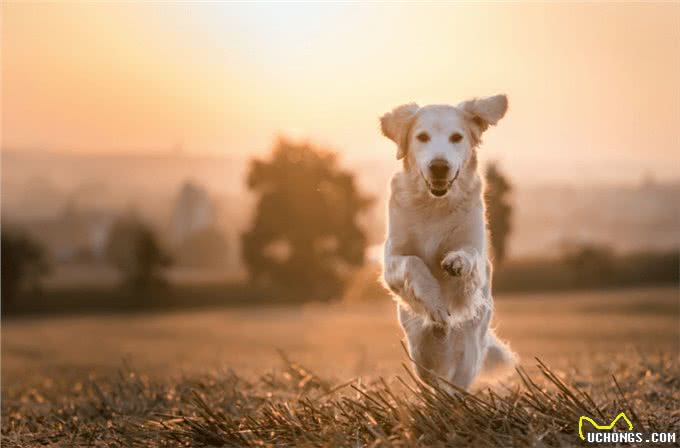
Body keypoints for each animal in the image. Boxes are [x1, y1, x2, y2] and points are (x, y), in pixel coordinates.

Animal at [382, 96, 516, 390]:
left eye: (457, 137)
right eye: (422, 137)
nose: (439, 166)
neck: (435, 205)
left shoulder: (475, 249)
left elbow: (469, 258)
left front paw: (457, 263)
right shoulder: (391, 261)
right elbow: (414, 263)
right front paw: (434, 302)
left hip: (470, 347)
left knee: (457, 383)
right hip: (419, 350)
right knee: (431, 379)